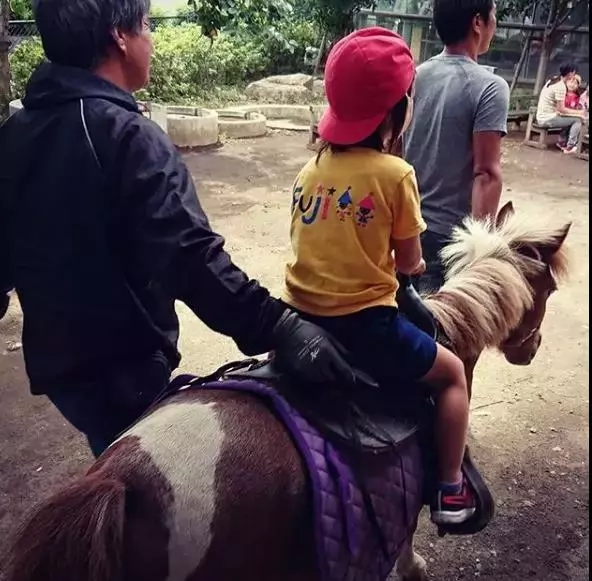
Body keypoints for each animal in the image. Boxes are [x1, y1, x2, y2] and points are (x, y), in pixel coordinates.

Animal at [0, 202, 571, 581]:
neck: (447, 331)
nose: (531, 349)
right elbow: (408, 540)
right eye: (547, 288)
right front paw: (415, 565)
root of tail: (120, 483)